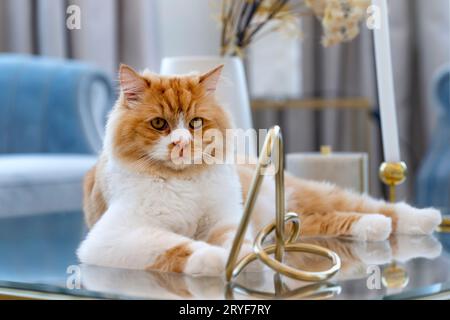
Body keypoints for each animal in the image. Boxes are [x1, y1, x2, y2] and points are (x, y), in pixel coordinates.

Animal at [76, 64, 440, 276]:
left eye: (195, 123)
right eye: (159, 124)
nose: (181, 143)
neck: (184, 182)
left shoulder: (225, 221)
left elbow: (227, 241)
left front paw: (230, 258)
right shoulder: (115, 235)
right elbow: (179, 245)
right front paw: (216, 260)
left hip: (300, 194)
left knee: (372, 206)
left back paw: (424, 218)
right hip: (286, 216)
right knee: (327, 220)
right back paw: (374, 227)